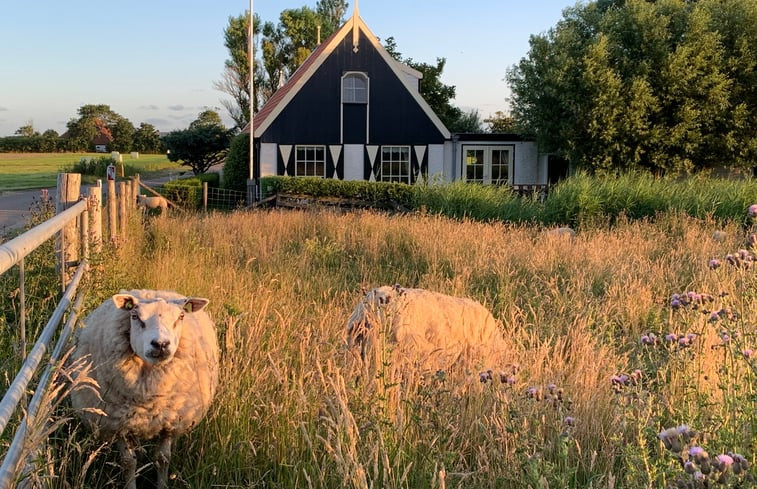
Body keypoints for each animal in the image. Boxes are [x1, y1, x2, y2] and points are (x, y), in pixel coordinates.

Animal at [70, 290, 219, 488]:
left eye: (181, 316)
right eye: (134, 316)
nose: (161, 344)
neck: (149, 395)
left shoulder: (170, 420)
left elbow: (163, 459)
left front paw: (162, 484)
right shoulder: (117, 423)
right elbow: (128, 462)